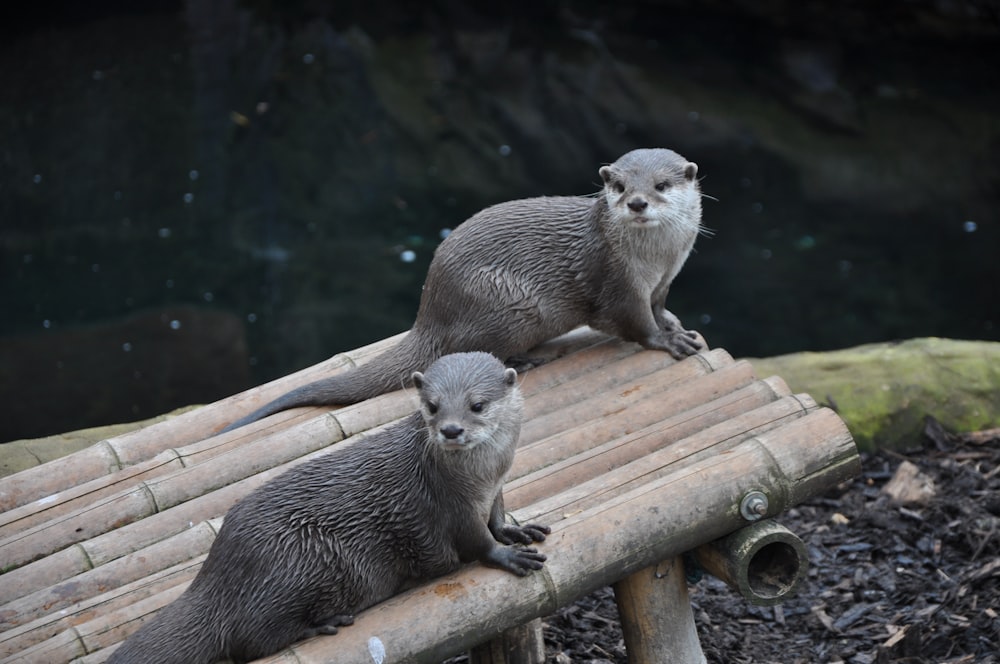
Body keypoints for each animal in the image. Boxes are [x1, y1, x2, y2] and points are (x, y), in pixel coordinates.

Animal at [109, 352, 548, 664]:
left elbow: (497, 518)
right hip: (297, 560)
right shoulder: (449, 504)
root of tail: (215, 577)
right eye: (432, 405)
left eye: (477, 405)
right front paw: (507, 555)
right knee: (250, 640)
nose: (451, 430)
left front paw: (516, 531)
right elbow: (477, 542)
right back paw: (323, 625)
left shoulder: (495, 490)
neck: (483, 476)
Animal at [223, 147, 704, 430]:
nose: (637, 202)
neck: (657, 259)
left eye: (661, 186)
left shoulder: (666, 277)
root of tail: (429, 313)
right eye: (619, 186)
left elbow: (659, 307)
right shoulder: (618, 281)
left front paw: (676, 325)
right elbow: (635, 323)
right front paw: (668, 341)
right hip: (509, 303)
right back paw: (526, 360)